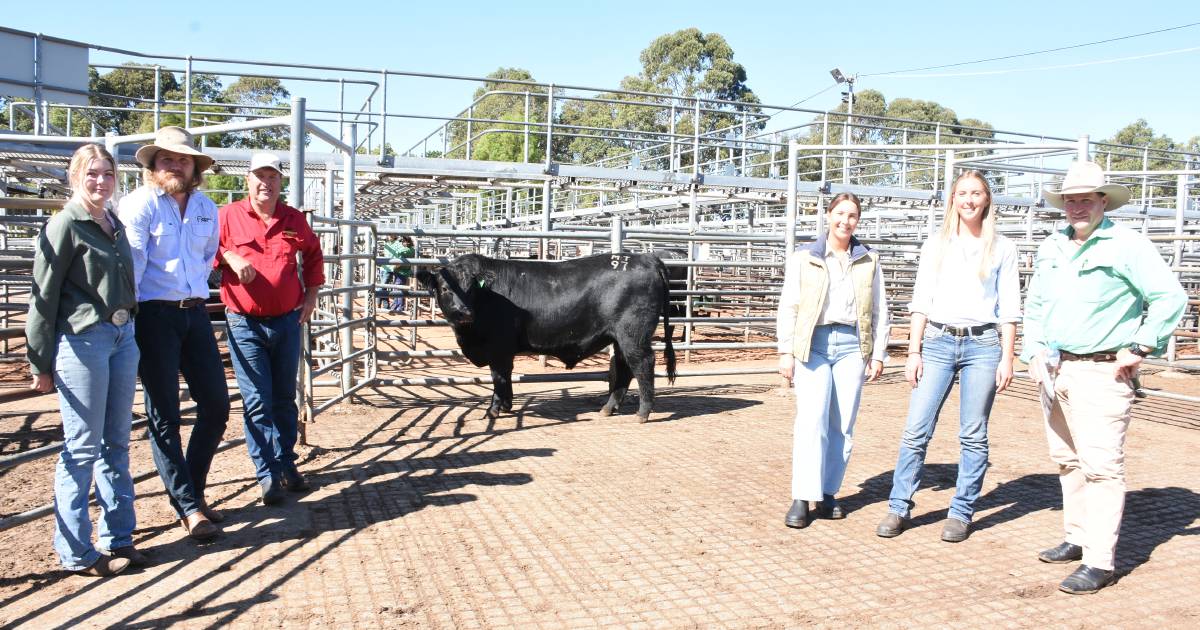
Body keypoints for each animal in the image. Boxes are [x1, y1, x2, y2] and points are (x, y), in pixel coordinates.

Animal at [417, 252, 676, 422]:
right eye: (445, 288)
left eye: (471, 289)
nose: (465, 313)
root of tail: (647, 259)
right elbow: (505, 377)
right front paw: (506, 406)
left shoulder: (498, 348)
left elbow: (499, 377)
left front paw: (493, 410)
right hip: (621, 338)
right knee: (624, 368)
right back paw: (608, 408)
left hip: (633, 335)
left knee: (643, 365)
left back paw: (643, 413)